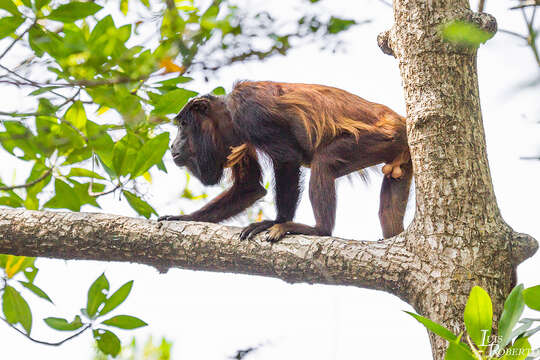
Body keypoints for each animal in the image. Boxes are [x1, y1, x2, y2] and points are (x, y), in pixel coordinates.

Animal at [158, 80, 412, 240]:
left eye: (183, 125)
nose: (172, 145)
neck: (228, 115)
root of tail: (401, 120)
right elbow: (250, 187)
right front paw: (184, 218)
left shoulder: (249, 112)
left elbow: (289, 158)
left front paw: (275, 221)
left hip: (384, 136)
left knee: (324, 160)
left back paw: (319, 230)